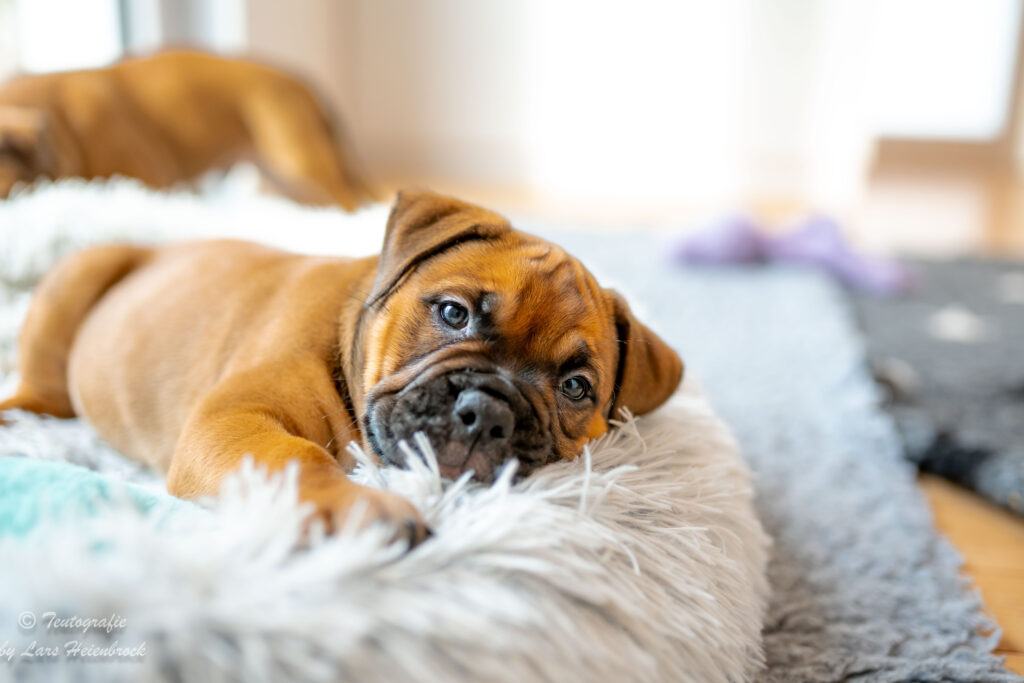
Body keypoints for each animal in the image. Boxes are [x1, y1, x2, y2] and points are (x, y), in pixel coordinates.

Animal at [2, 189, 688, 540]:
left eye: (575, 388)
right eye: (453, 314)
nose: (486, 412)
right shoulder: (234, 419)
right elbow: (295, 456)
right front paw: (359, 508)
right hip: (74, 285)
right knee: (38, 389)